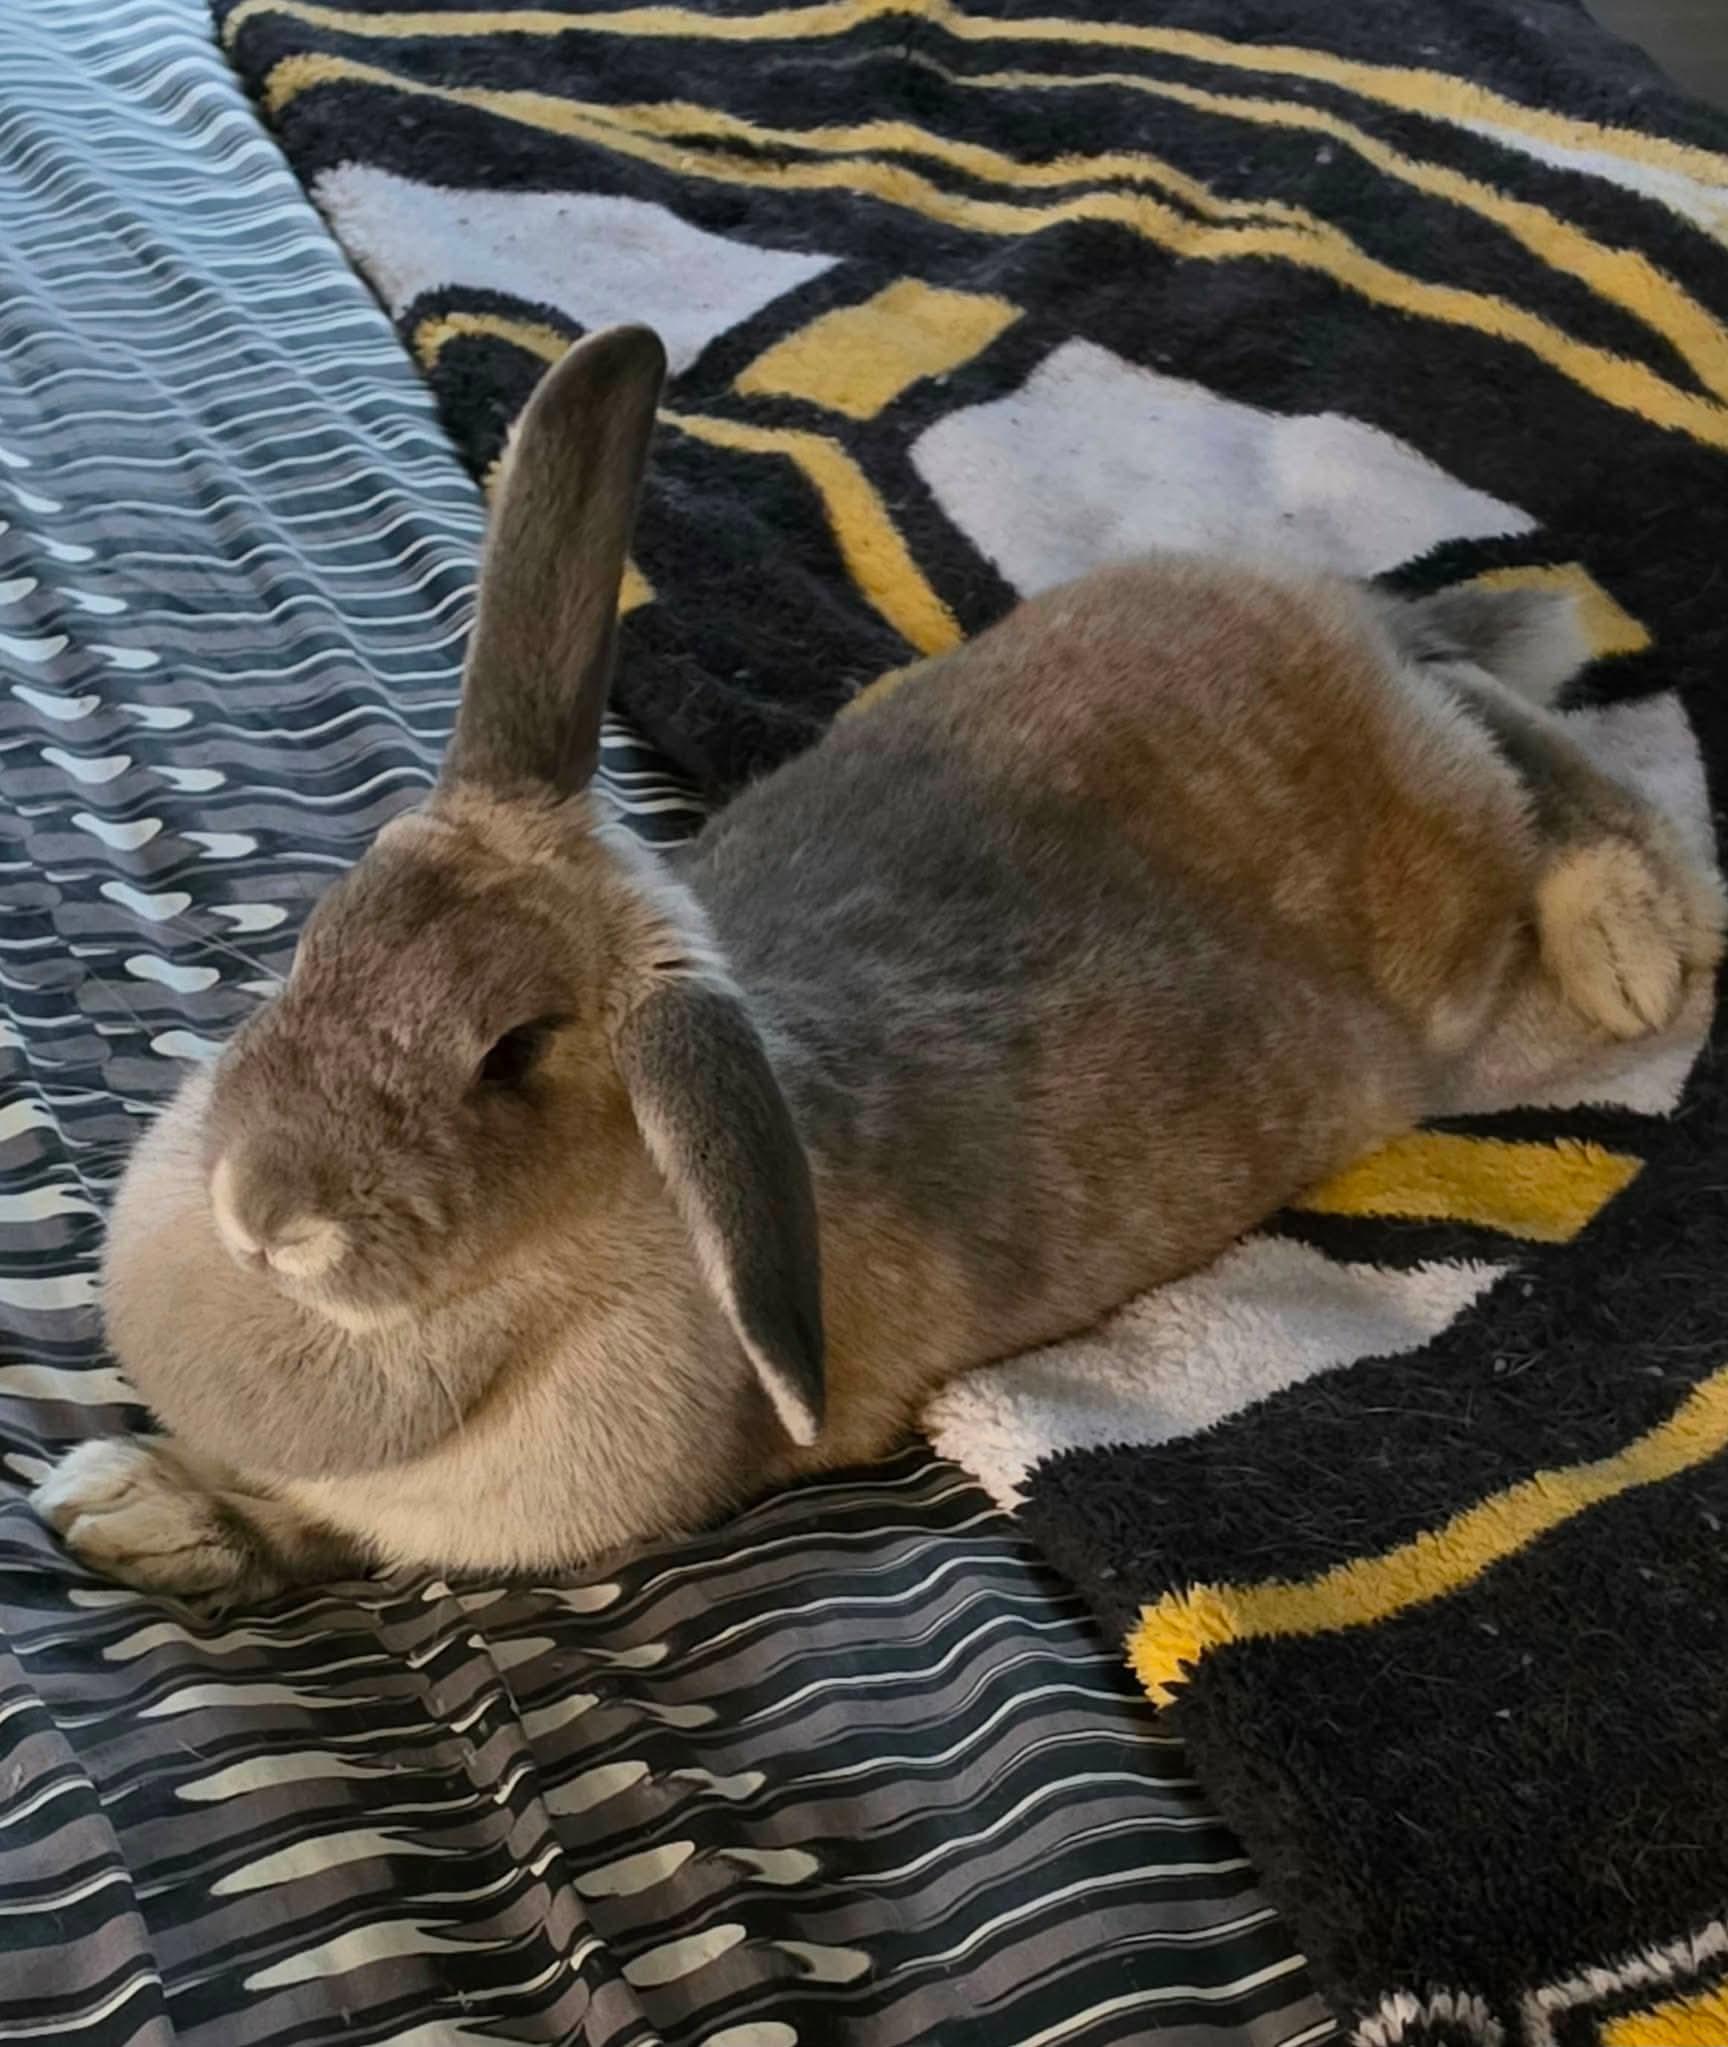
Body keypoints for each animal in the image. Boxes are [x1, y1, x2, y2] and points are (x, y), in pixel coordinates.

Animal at [32, 324, 1724, 1603]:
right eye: (328, 928)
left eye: (514, 1052)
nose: (263, 1212)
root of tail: (1336, 622)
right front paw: (120, 1498)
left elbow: (333, 1538)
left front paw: (127, 1505)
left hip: (1471, 942)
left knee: (1535, 756)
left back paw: (1632, 938)